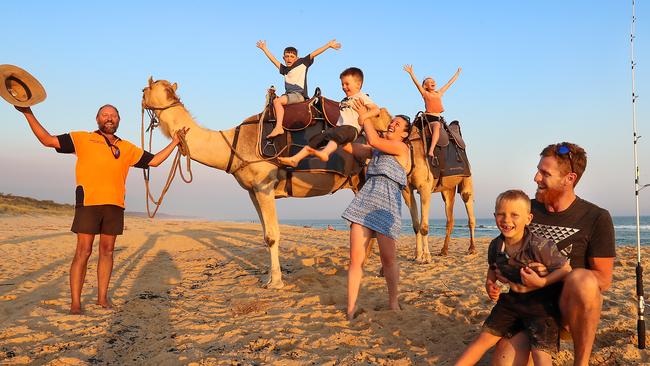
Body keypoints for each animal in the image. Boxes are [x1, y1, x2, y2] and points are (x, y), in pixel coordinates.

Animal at [140, 77, 390, 288]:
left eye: (145, 89)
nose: (141, 97)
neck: (234, 144)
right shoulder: (253, 191)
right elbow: (264, 235)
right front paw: (267, 277)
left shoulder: (264, 186)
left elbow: (272, 236)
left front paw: (275, 283)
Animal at [400, 124, 476, 262]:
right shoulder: (407, 190)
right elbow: (416, 225)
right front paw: (417, 255)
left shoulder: (424, 187)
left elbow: (424, 226)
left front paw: (426, 257)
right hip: (447, 190)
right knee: (450, 218)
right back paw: (443, 250)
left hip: (467, 179)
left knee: (469, 209)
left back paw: (472, 249)